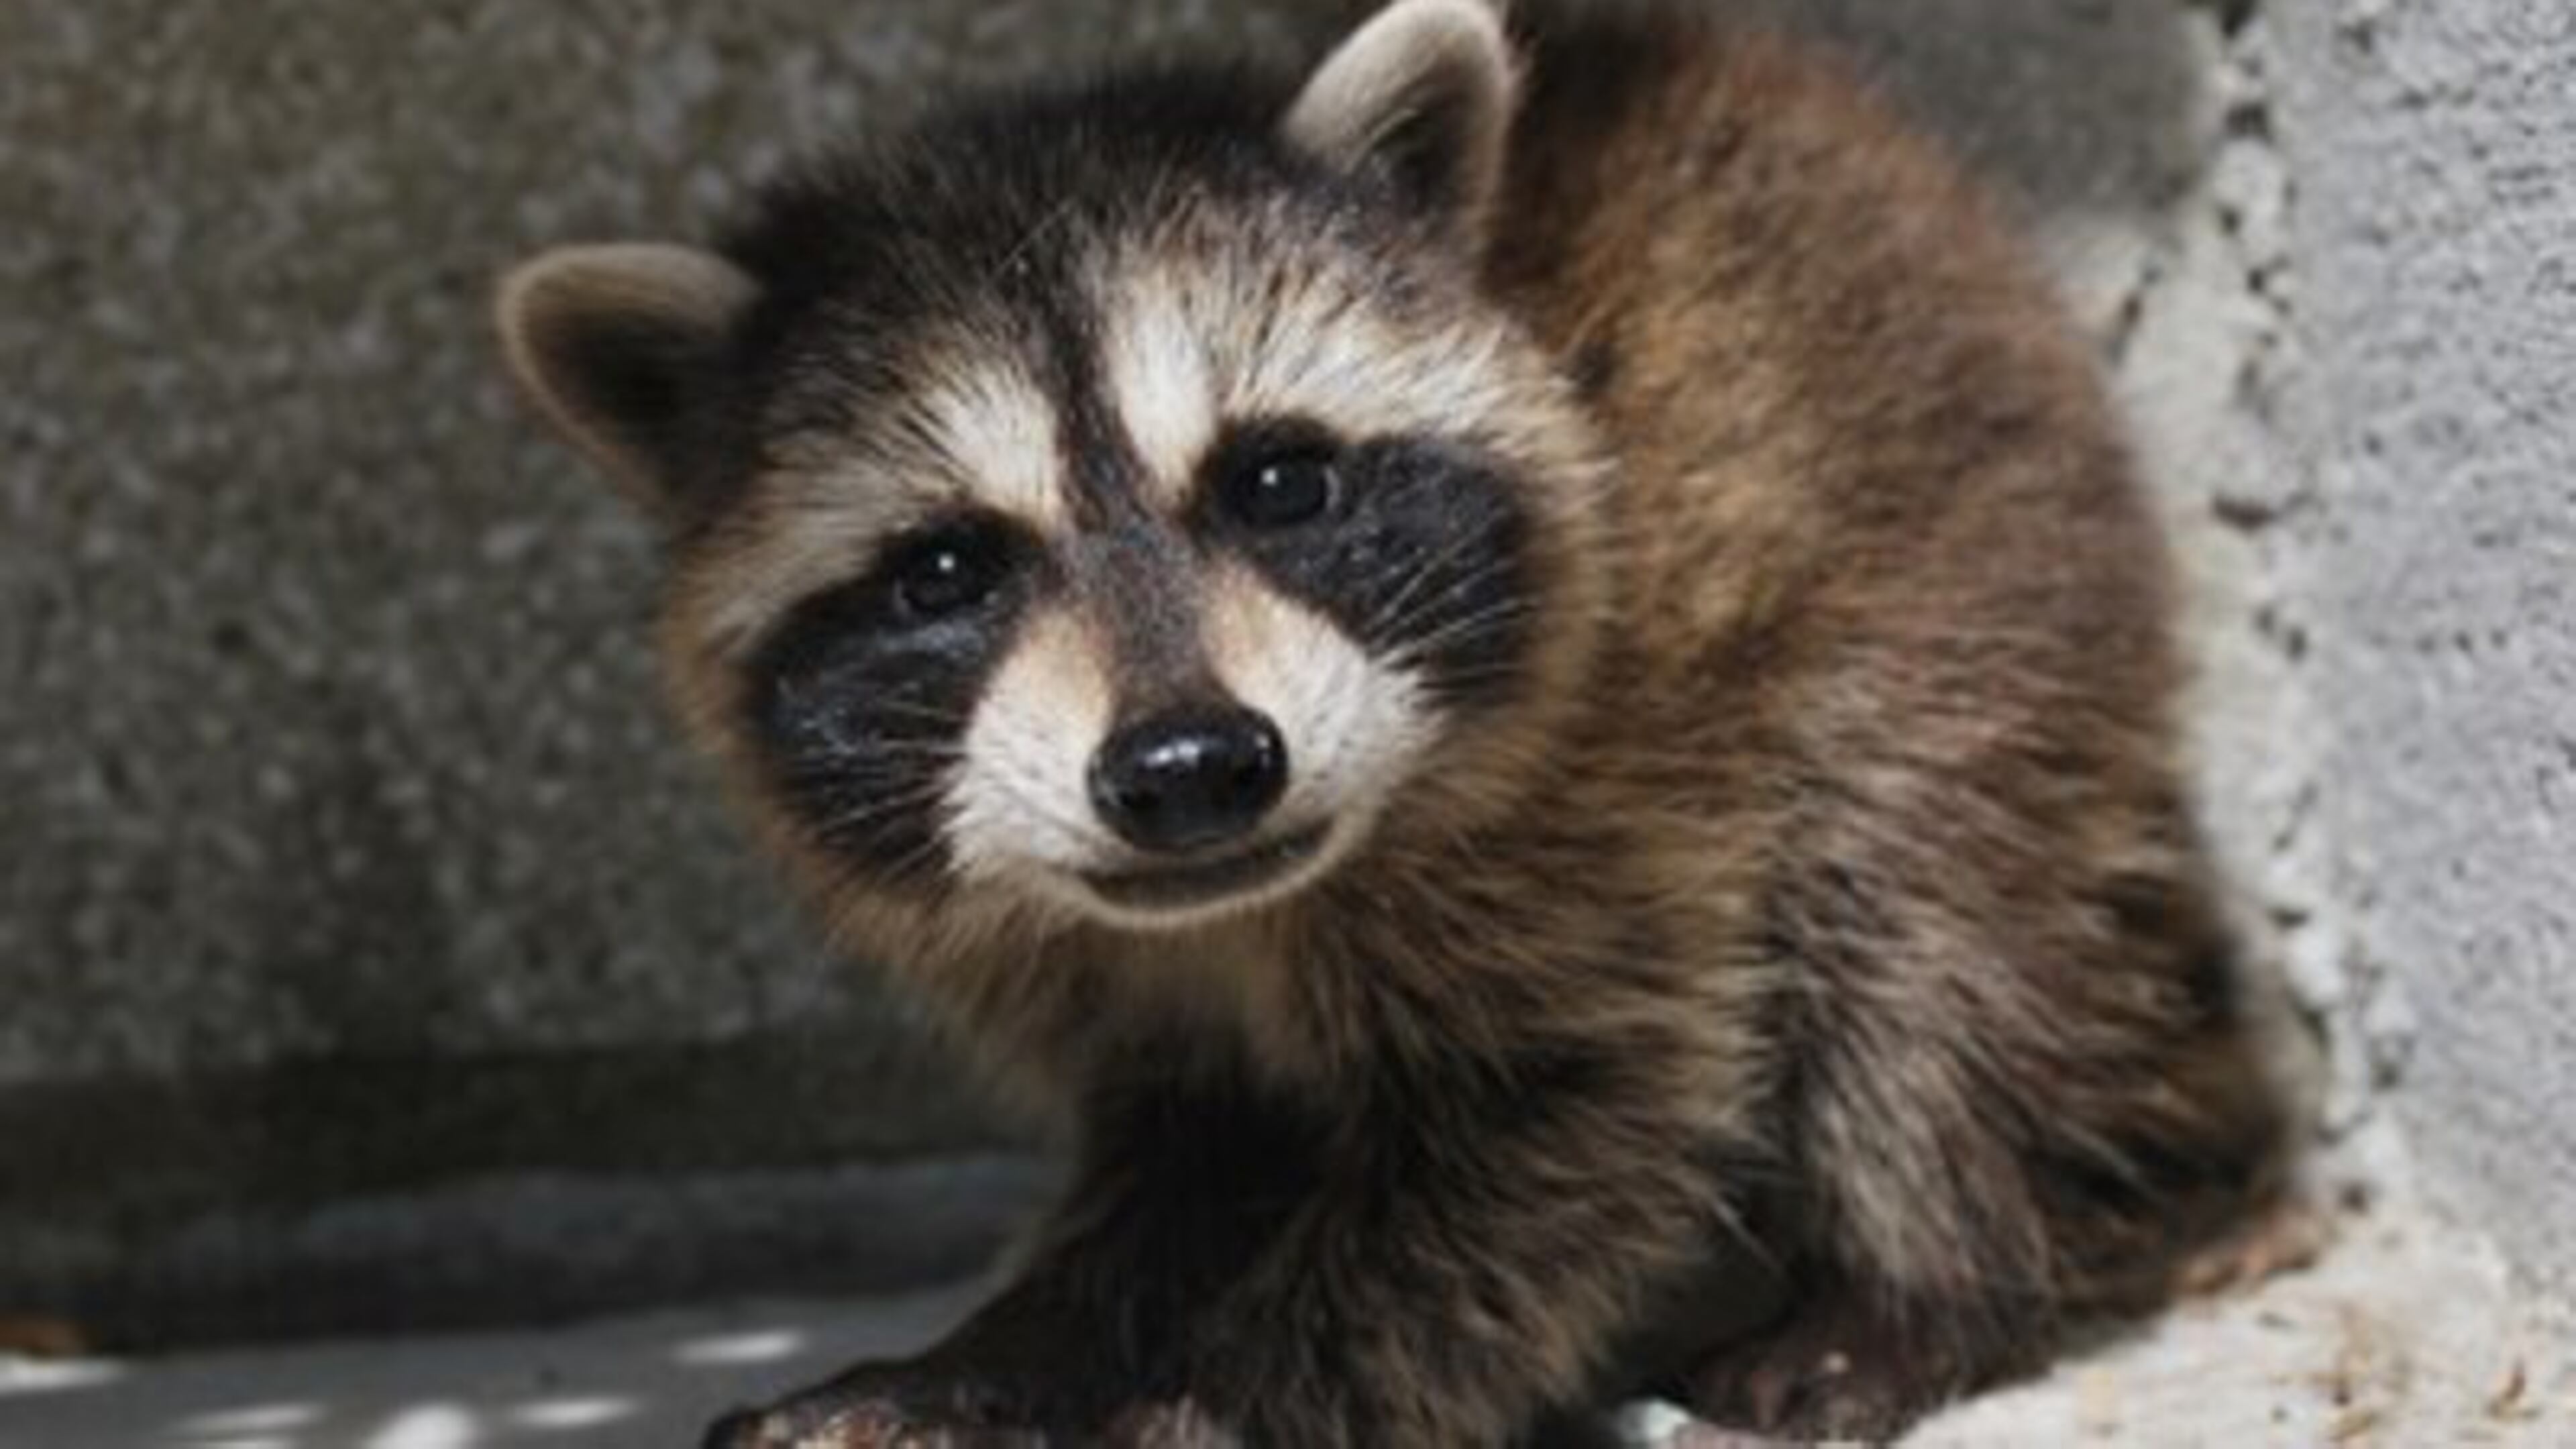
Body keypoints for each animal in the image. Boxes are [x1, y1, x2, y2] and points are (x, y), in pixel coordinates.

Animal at [495, 0, 2286, 1443]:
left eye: (1279, 481)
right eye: (946, 569)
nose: (1190, 770)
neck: (1229, 914)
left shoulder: (1599, 811)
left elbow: (1550, 1135)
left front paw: (1226, 1399)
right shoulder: (1098, 960)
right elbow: (1183, 1162)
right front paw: (991, 1354)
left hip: (1959, 576)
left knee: (1932, 929)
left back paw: (1927, 1273)